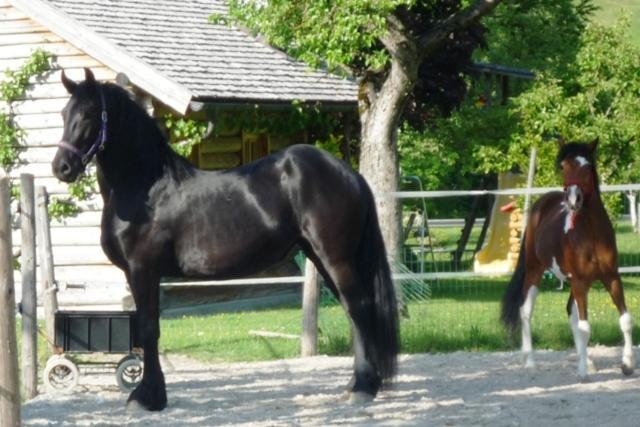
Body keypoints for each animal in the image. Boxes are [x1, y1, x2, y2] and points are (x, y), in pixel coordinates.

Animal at [51, 69, 400, 412]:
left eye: (89, 114)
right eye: (64, 113)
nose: (61, 167)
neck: (145, 188)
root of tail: (349, 174)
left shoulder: (144, 269)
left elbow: (148, 328)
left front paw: (146, 396)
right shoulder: (135, 273)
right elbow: (147, 328)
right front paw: (152, 393)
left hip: (336, 258)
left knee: (360, 308)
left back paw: (364, 387)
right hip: (320, 257)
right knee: (353, 312)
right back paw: (356, 384)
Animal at [502, 140, 632, 378]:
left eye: (587, 165)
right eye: (563, 166)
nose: (573, 200)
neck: (591, 233)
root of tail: (542, 203)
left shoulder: (611, 277)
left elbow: (625, 320)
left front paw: (627, 364)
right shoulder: (580, 280)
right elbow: (585, 327)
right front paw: (582, 373)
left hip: (576, 282)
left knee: (571, 313)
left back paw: (587, 361)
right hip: (535, 271)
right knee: (526, 311)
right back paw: (530, 361)